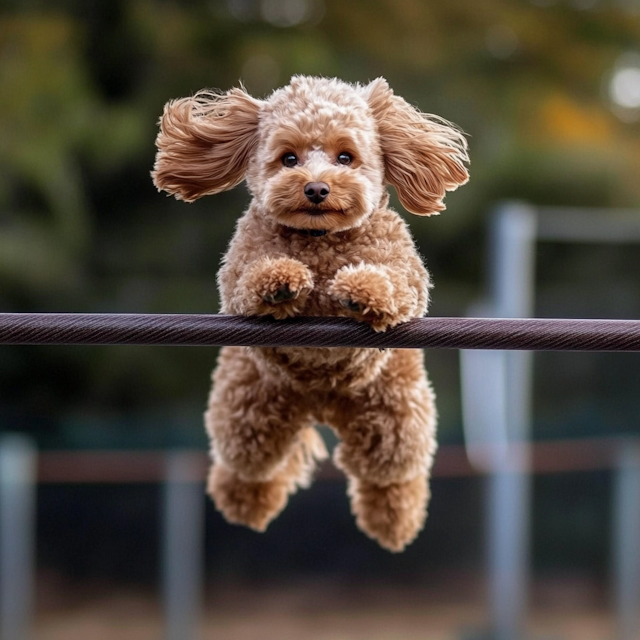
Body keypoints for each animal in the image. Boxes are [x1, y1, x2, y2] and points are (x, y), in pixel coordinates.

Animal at [152, 76, 468, 552]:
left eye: (345, 157)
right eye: (289, 159)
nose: (317, 188)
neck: (320, 240)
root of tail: (318, 402)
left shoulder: (404, 272)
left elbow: (393, 282)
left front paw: (362, 290)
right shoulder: (239, 270)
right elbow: (251, 279)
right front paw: (281, 280)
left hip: (392, 417)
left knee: (391, 475)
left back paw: (395, 523)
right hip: (249, 412)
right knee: (250, 467)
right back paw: (245, 505)